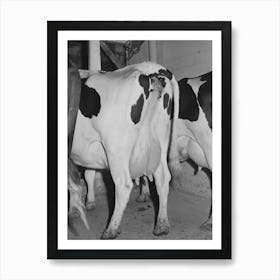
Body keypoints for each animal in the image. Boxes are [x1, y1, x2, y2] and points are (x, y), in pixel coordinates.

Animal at [71, 61, 178, 238]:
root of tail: (146, 70)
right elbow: (88, 174)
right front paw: (89, 202)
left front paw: (74, 210)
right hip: (160, 141)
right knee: (163, 178)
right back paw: (162, 225)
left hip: (116, 149)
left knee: (124, 185)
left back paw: (111, 229)